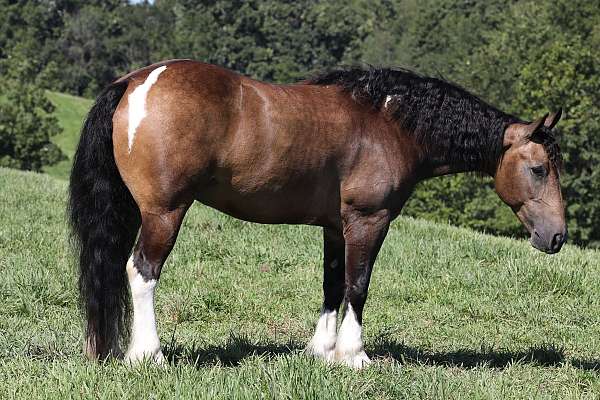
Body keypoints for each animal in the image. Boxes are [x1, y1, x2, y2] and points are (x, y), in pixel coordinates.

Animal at [69, 59, 568, 368]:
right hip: (164, 213)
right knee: (142, 271)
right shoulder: (368, 220)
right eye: (540, 169)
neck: (389, 125)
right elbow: (358, 285)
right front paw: (354, 354)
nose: (557, 237)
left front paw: (322, 349)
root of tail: (136, 81)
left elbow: (332, 285)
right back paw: (149, 354)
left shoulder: (334, 227)